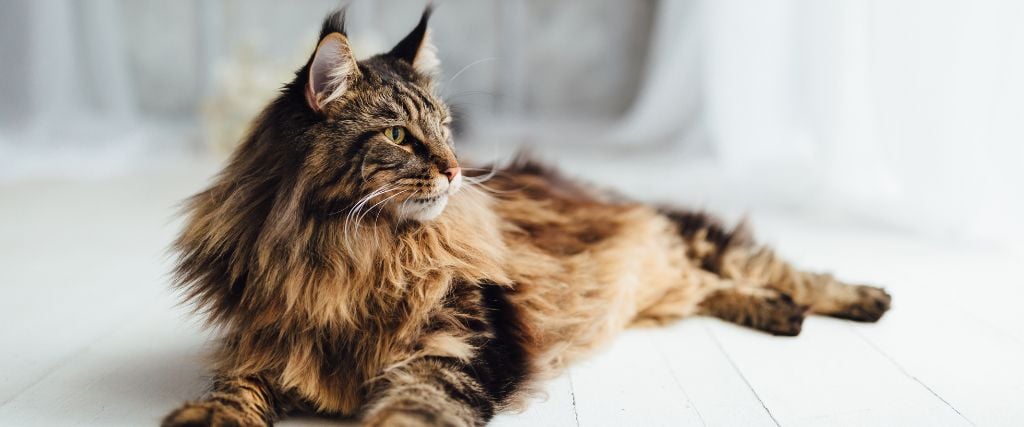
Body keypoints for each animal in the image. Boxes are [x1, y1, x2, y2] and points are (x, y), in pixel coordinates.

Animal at [159, 7, 888, 425]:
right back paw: (778, 313)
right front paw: (206, 417)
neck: (344, 253)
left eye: (446, 129)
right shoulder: (268, 342)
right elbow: (232, 389)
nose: (455, 169)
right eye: (398, 137)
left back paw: (860, 299)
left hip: (691, 234)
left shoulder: (463, 340)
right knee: (713, 288)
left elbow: (416, 407)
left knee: (781, 269)